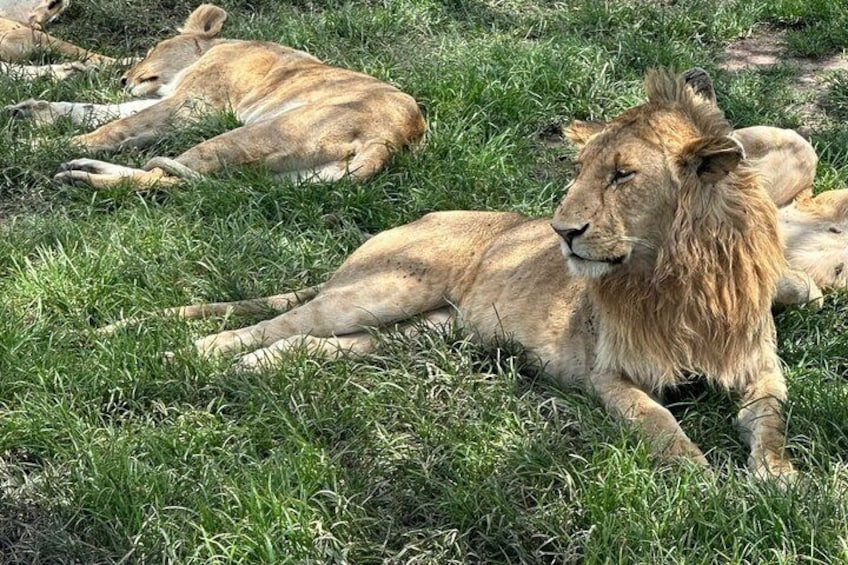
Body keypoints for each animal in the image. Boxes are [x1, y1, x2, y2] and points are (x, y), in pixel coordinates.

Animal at [9, 3, 426, 187]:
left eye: (152, 48)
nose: (124, 78)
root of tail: (392, 138)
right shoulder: (171, 99)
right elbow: (102, 110)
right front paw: (30, 111)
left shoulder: (192, 108)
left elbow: (118, 125)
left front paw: (39, 144)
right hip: (288, 177)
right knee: (183, 183)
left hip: (246, 134)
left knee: (165, 177)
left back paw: (82, 174)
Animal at [102, 70, 795, 480]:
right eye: (581, 171)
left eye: (622, 175)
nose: (561, 231)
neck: (684, 277)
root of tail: (415, 218)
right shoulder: (611, 376)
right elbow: (662, 425)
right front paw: (702, 478)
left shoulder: (760, 369)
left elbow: (773, 423)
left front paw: (777, 480)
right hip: (387, 288)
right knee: (279, 321)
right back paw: (186, 355)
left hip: (420, 330)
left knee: (311, 344)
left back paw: (249, 369)